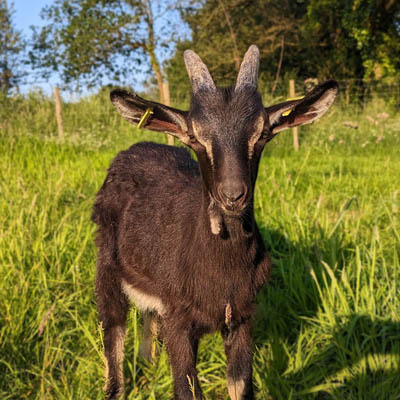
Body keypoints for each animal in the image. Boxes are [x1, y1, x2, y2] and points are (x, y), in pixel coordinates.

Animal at [91, 45, 338, 398]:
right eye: (194, 136)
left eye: (262, 133)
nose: (233, 194)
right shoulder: (179, 321)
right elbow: (186, 389)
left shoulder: (242, 318)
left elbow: (241, 386)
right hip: (107, 264)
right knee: (113, 329)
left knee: (148, 320)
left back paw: (149, 363)